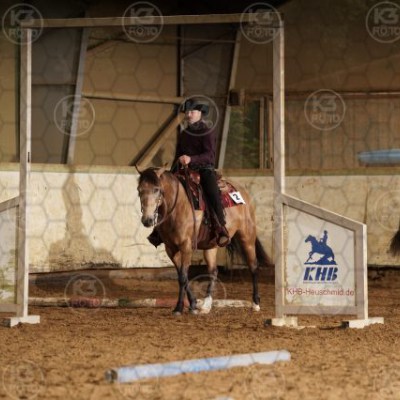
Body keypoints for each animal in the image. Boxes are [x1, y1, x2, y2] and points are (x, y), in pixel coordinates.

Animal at [136, 165, 271, 315]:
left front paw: (178, 308)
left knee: (253, 266)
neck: (178, 206)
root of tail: (242, 192)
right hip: (211, 245)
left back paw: (255, 303)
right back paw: (206, 305)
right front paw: (193, 303)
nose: (147, 220)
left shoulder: (186, 246)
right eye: (139, 190)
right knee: (213, 271)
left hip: (247, 237)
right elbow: (182, 275)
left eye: (156, 189)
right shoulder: (170, 249)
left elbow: (183, 277)